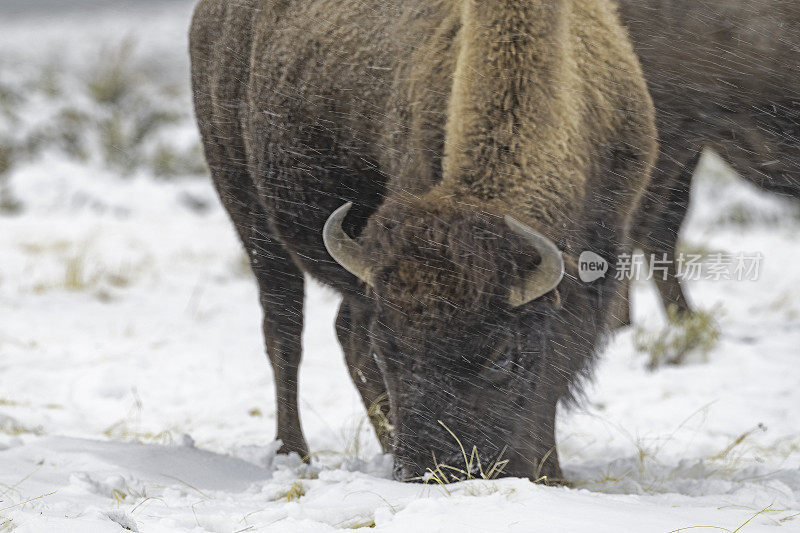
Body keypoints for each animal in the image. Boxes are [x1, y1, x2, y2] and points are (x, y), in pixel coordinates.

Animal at [189, 0, 656, 482]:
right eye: (388, 348)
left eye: (501, 356)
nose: (431, 471)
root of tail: (207, 17)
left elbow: (555, 373)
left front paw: (549, 474)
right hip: (248, 212)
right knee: (284, 332)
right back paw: (294, 454)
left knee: (340, 333)